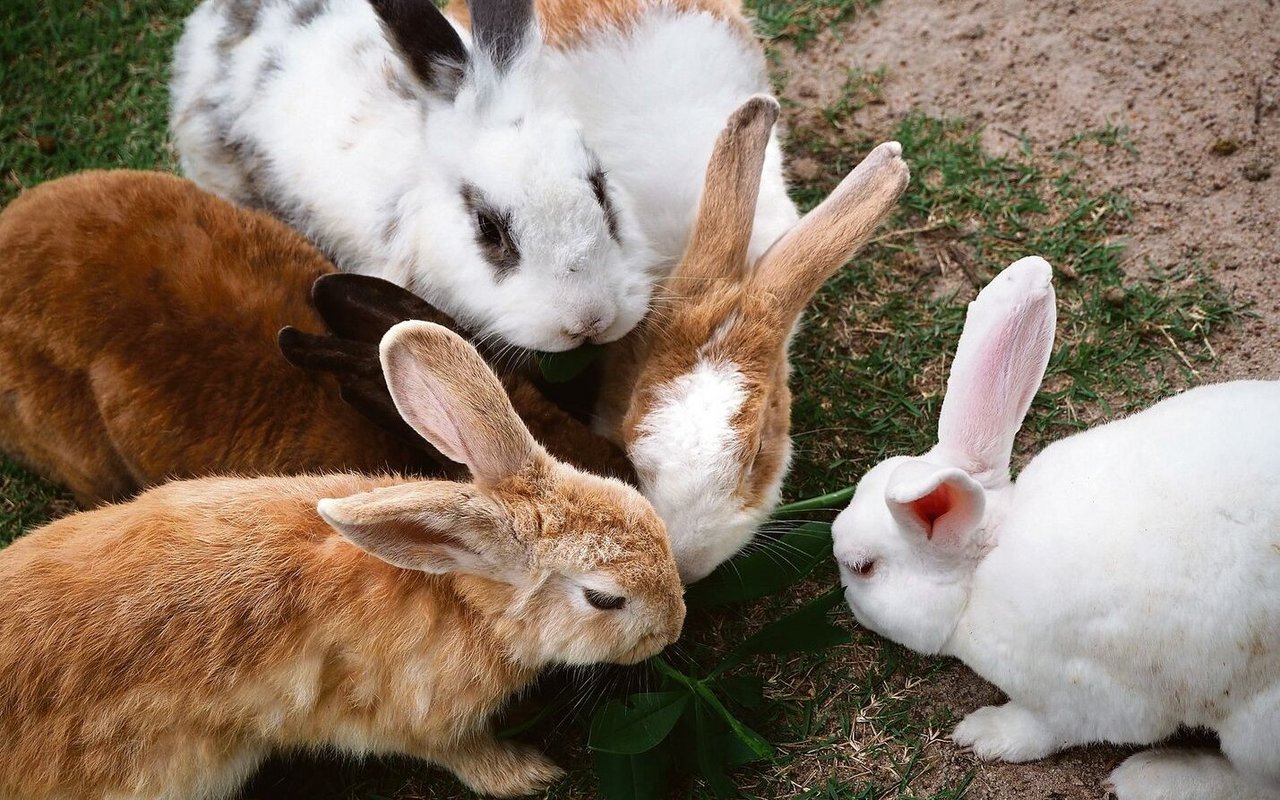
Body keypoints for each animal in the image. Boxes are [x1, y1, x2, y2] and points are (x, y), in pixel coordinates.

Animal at [0, 318, 691, 798]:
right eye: (604, 599)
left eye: (642, 506)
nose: (674, 627)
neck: (463, 598)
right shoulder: (414, 719)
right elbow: (459, 752)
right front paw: (526, 775)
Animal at [829, 257, 1280, 798]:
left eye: (863, 567)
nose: (843, 594)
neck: (983, 568)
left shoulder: (1085, 695)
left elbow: (1049, 728)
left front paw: (987, 735)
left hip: (1257, 727)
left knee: (1255, 781)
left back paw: (1154, 777)